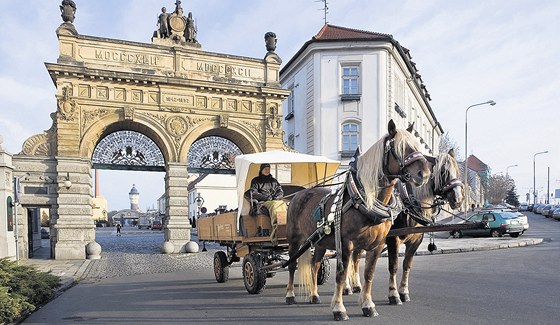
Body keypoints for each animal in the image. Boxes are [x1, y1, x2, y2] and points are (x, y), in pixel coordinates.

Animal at [284, 119, 428, 318]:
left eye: (416, 146)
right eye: (400, 148)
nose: (424, 173)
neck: (365, 201)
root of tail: (299, 194)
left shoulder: (377, 245)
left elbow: (368, 274)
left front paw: (368, 305)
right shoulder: (346, 244)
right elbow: (341, 275)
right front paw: (339, 308)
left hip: (320, 243)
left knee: (315, 265)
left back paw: (314, 295)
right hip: (294, 239)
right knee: (292, 264)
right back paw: (290, 295)